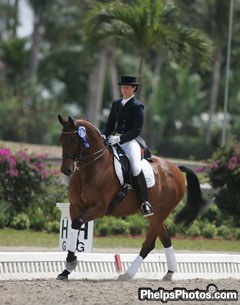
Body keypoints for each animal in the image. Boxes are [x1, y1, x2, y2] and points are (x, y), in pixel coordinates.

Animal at [56, 114, 206, 280]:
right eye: (61, 139)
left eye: (74, 140)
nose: (66, 170)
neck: (92, 168)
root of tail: (176, 168)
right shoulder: (75, 206)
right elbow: (73, 228)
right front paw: (66, 270)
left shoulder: (99, 208)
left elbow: (77, 223)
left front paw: (71, 262)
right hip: (156, 214)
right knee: (166, 238)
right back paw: (169, 273)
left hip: (162, 211)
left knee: (149, 243)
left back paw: (128, 273)